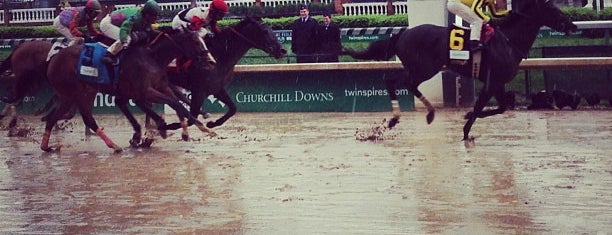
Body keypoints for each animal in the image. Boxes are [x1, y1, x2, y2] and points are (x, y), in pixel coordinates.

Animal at [41, 29, 212, 151]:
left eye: (203, 41)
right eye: (196, 42)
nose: (211, 61)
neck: (152, 58)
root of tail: (53, 59)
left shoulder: (160, 87)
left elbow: (176, 102)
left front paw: (189, 130)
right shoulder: (145, 91)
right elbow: (173, 103)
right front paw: (199, 129)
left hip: (75, 94)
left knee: (55, 118)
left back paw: (46, 146)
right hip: (78, 92)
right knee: (85, 118)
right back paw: (114, 146)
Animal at [346, 0, 576, 146]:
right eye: (553, 8)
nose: (572, 25)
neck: (508, 41)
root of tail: (402, 34)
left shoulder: (498, 83)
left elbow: (501, 107)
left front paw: (467, 118)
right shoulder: (491, 82)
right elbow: (479, 109)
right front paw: (466, 132)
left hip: (420, 69)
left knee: (403, 83)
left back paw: (423, 114)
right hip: (424, 68)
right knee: (395, 81)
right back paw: (401, 118)